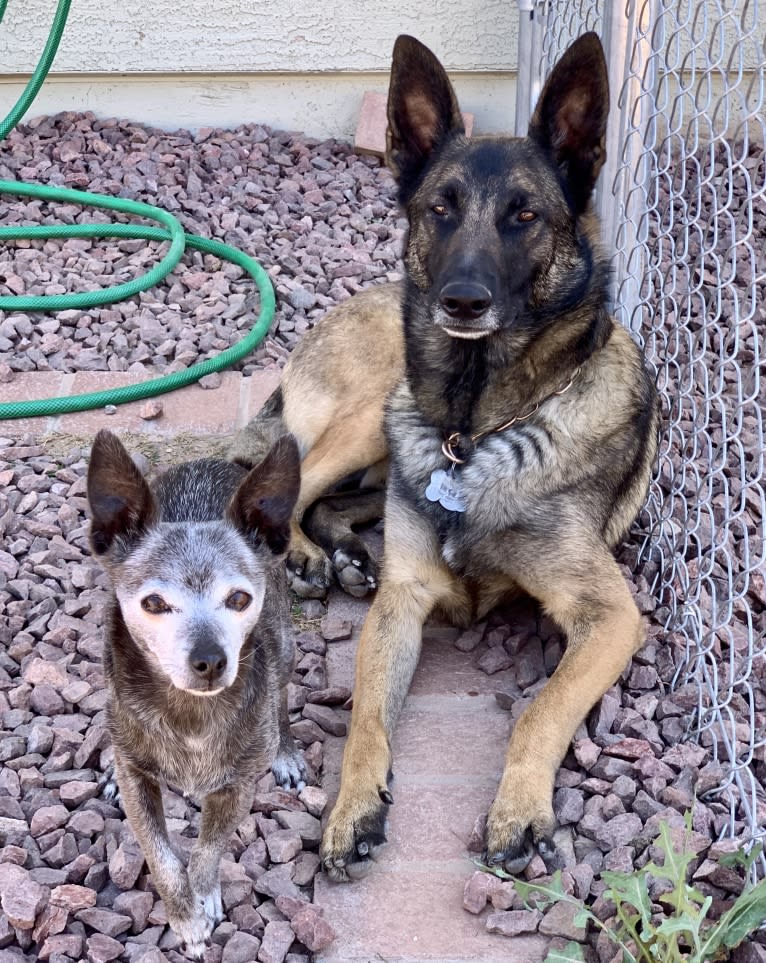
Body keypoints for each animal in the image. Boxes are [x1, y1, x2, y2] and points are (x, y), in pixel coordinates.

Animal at [86, 434, 306, 960]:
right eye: (153, 603)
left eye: (239, 599)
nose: (210, 659)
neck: (190, 716)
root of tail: (212, 461)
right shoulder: (140, 785)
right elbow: (162, 857)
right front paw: (185, 918)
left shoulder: (238, 788)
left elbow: (207, 850)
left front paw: (203, 900)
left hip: (286, 647)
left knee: (282, 696)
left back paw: (286, 751)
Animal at [228, 32, 660, 880]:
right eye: (441, 208)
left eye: (526, 214)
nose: (461, 300)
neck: (479, 426)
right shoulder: (405, 600)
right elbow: (365, 718)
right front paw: (352, 808)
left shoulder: (610, 616)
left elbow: (539, 711)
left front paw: (518, 808)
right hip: (373, 415)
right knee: (289, 485)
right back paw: (310, 554)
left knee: (337, 500)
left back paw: (343, 551)